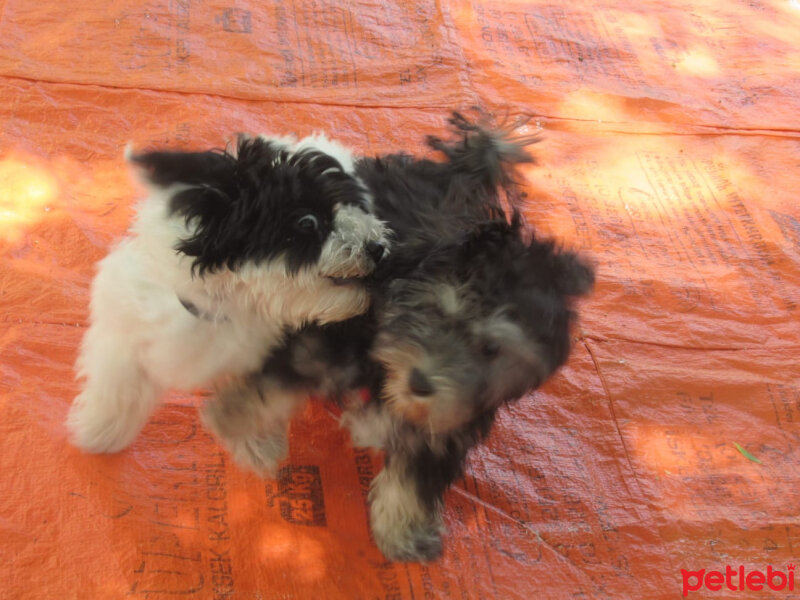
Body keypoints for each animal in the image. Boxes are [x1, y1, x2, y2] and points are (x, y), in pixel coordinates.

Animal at [67, 131, 390, 452]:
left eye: (354, 209)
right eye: (307, 222)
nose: (377, 248)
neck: (227, 306)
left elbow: (264, 390)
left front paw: (255, 442)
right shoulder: (126, 317)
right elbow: (119, 379)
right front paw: (102, 430)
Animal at [203, 117, 592, 564]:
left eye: (491, 350)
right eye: (437, 310)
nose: (419, 383)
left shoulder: (452, 417)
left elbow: (417, 471)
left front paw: (404, 532)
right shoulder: (330, 339)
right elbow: (271, 386)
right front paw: (239, 426)